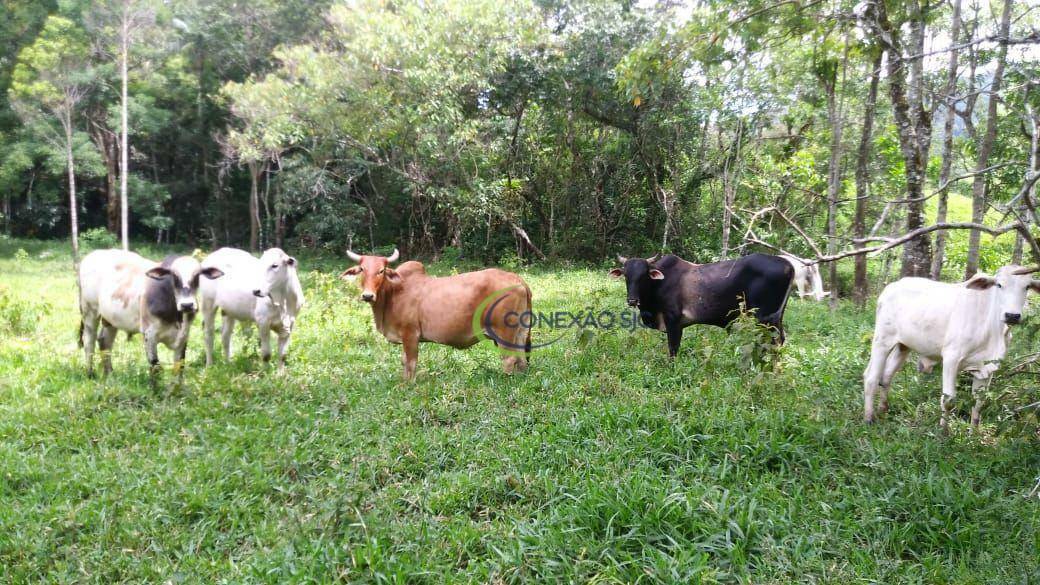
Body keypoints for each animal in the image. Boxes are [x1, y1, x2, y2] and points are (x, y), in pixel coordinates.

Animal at [341, 247, 532, 380]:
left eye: (381, 270)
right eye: (362, 269)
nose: (367, 295)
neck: (393, 292)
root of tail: (517, 278)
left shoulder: (410, 334)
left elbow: (411, 363)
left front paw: (408, 384)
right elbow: (404, 361)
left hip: (504, 332)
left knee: (509, 358)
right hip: (520, 331)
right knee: (522, 358)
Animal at [607, 251, 794, 355]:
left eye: (643, 275)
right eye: (626, 275)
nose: (632, 300)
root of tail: (788, 265)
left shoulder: (673, 321)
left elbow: (673, 349)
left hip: (765, 319)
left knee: (772, 343)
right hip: (776, 318)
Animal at [861, 264, 1040, 428]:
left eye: (1027, 287)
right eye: (999, 285)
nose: (1012, 316)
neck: (992, 329)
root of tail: (892, 286)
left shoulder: (988, 367)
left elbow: (978, 403)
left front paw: (973, 434)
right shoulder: (951, 358)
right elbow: (948, 400)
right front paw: (943, 432)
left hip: (903, 346)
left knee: (886, 377)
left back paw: (883, 410)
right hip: (882, 340)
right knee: (871, 377)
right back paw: (869, 418)